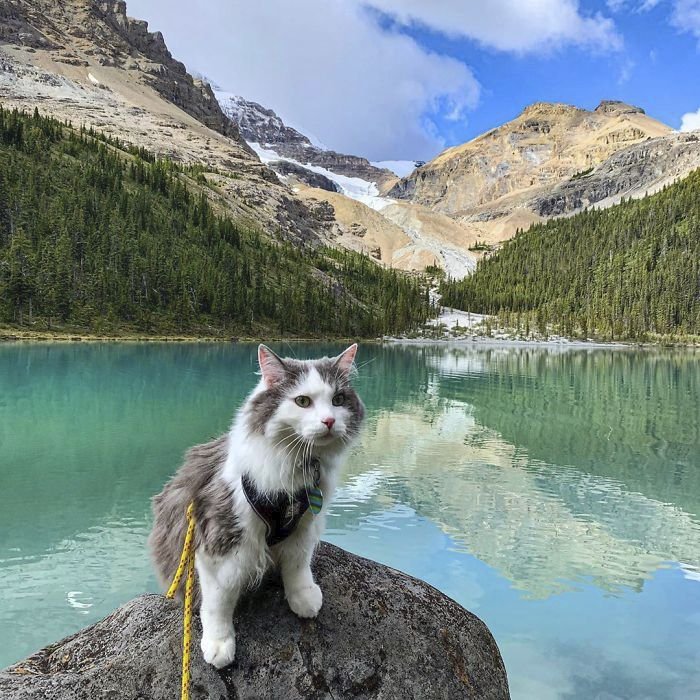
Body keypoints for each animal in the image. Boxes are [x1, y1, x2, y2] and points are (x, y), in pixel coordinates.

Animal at [148, 344, 366, 668]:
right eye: (303, 401)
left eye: (338, 400)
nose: (329, 421)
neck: (299, 466)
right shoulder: (221, 536)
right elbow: (218, 602)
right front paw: (219, 645)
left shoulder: (304, 527)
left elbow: (298, 568)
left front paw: (304, 599)